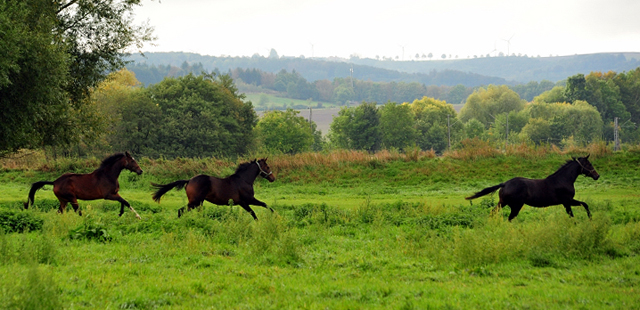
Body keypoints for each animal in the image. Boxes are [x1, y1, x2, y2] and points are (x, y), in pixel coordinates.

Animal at [464, 156, 600, 222]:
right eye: (589, 164)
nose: (597, 176)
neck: (563, 179)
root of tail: (505, 184)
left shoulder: (566, 202)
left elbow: (582, 206)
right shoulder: (567, 201)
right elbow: (579, 209)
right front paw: (589, 219)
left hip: (502, 203)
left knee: (493, 212)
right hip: (516, 206)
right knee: (509, 218)